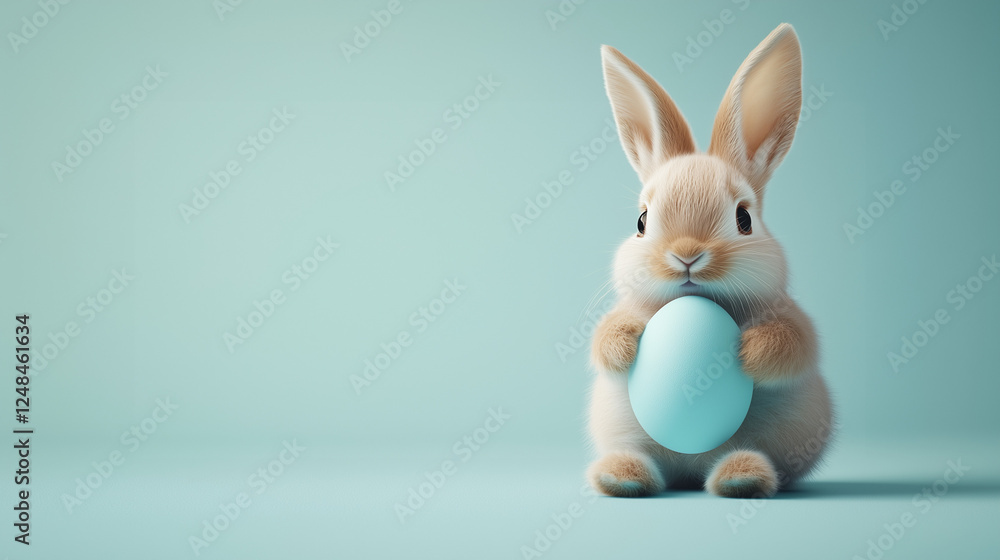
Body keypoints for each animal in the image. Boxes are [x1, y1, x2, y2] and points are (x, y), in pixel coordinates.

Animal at [587, 23, 833, 498]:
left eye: (744, 219)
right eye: (641, 222)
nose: (686, 255)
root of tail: (690, 470)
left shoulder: (791, 317)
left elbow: (795, 343)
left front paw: (750, 352)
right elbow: (603, 340)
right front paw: (625, 341)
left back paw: (741, 476)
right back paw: (620, 476)